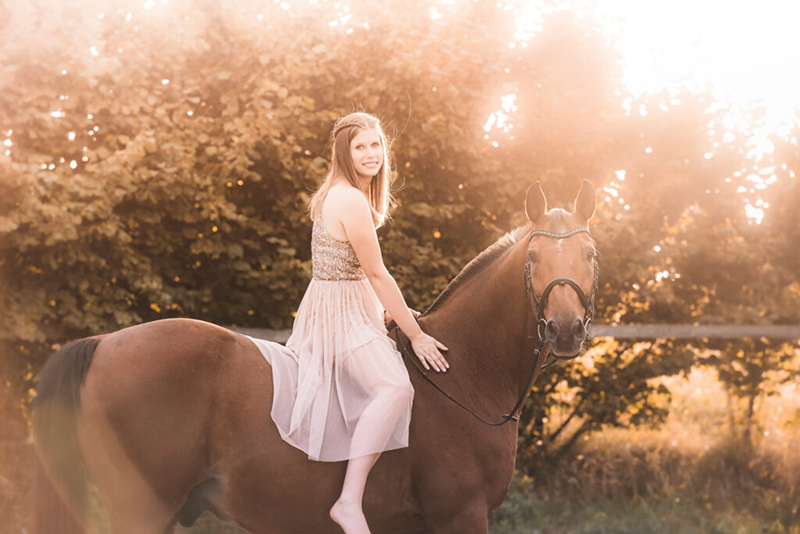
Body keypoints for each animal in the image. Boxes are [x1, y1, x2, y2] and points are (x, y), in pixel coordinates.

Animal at [32, 181, 592, 534]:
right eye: (534, 259)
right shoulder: (462, 516)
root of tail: (104, 342)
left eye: (589, 256)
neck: (464, 377)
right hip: (141, 510)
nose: (565, 330)